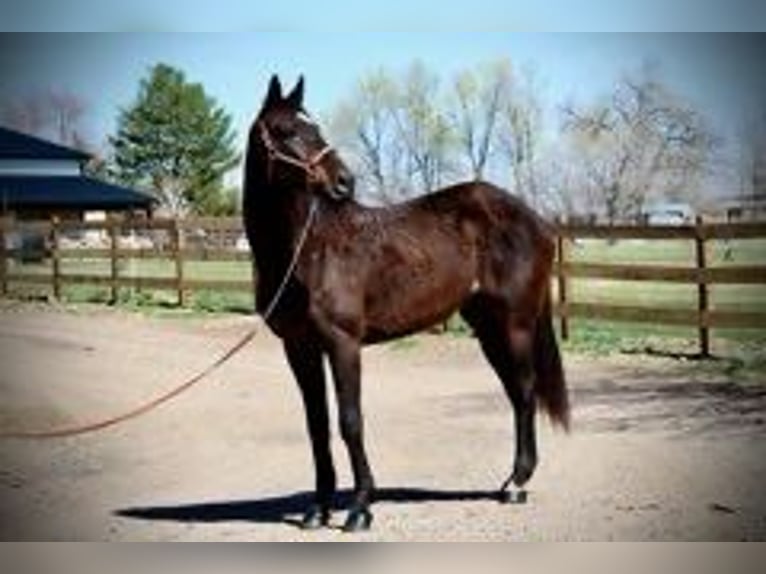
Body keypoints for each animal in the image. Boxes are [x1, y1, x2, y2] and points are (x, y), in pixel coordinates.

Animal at [243, 75, 569, 533]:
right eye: (286, 130)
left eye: (315, 128)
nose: (344, 182)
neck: (307, 250)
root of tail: (538, 220)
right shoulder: (299, 347)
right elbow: (317, 425)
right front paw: (318, 507)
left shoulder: (343, 343)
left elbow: (350, 421)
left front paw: (360, 507)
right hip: (487, 326)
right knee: (514, 392)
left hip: (515, 324)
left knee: (524, 392)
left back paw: (516, 484)